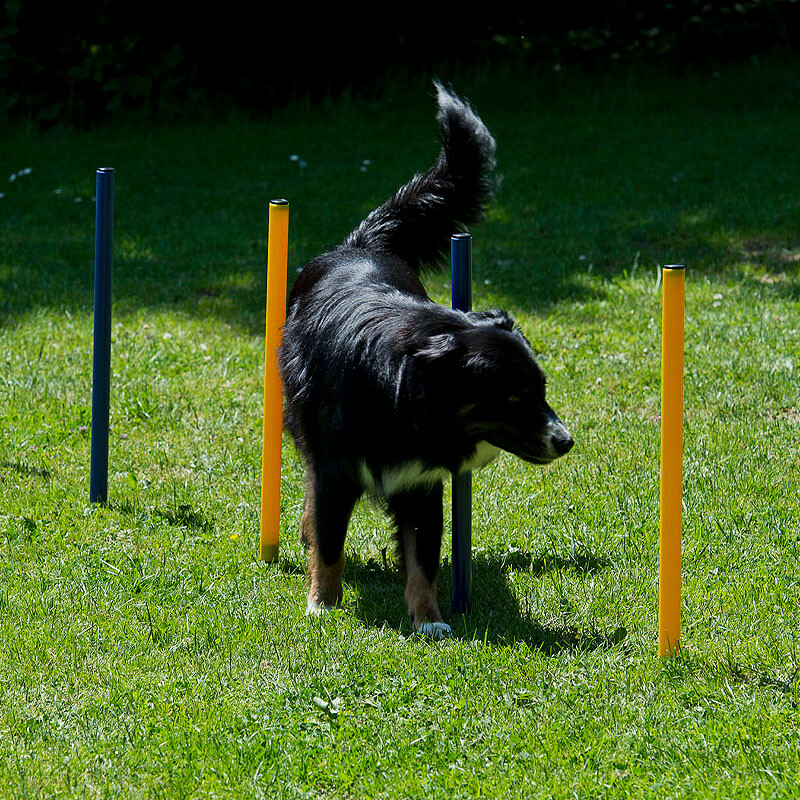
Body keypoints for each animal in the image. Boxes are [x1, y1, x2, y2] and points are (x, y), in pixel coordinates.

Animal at [278, 78, 572, 636]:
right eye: (513, 397)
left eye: (543, 391)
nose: (565, 441)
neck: (400, 393)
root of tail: (360, 244)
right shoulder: (336, 468)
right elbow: (329, 541)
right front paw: (323, 604)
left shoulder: (422, 481)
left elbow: (423, 554)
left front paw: (429, 620)